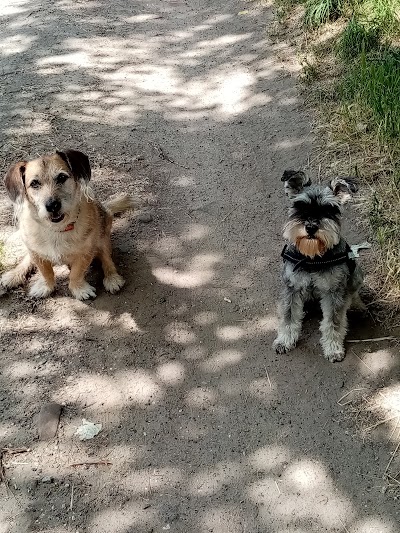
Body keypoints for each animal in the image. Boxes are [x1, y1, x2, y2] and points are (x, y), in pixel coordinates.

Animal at [0, 149, 134, 300]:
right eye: (34, 183)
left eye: (61, 177)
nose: (52, 205)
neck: (56, 229)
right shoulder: (36, 253)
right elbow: (45, 272)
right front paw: (46, 287)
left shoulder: (86, 253)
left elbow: (76, 273)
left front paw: (79, 289)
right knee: (27, 260)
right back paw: (13, 275)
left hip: (103, 238)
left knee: (107, 258)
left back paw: (112, 278)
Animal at [274, 170, 364, 362]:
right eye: (300, 206)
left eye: (329, 210)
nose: (310, 227)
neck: (312, 257)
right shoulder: (292, 288)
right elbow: (288, 317)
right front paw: (284, 341)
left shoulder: (334, 292)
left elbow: (333, 322)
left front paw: (333, 348)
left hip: (357, 274)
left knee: (351, 294)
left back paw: (356, 305)